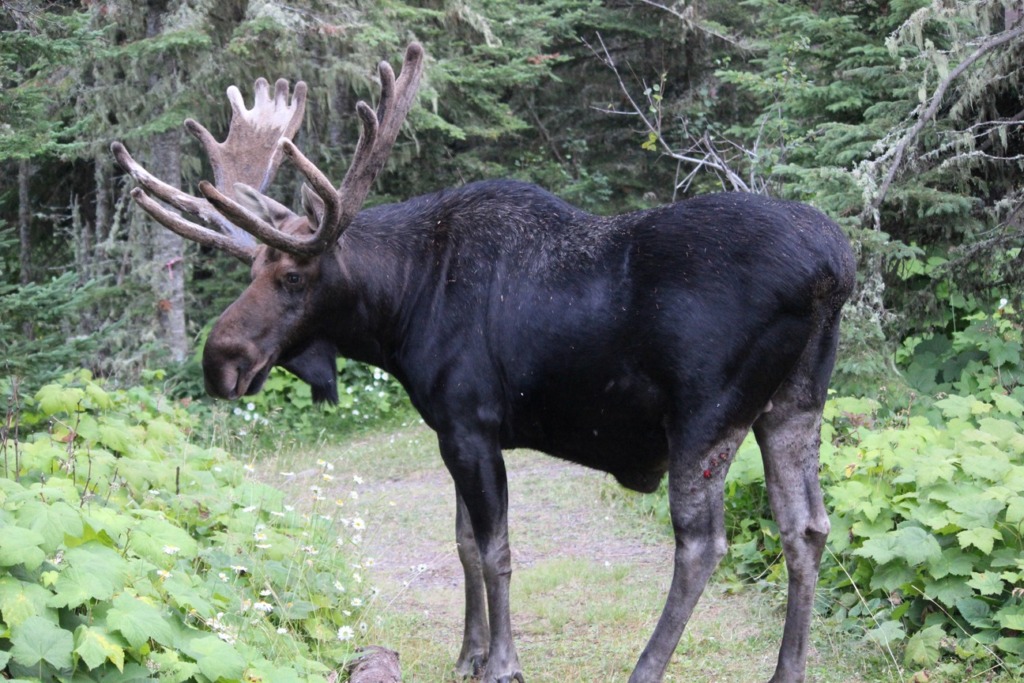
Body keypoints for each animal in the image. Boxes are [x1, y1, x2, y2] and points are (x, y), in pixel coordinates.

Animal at [114, 42, 856, 683]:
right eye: (251, 271)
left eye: (294, 276)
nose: (220, 361)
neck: (403, 305)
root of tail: (833, 268)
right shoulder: (450, 428)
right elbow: (465, 542)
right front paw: (469, 653)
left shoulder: (471, 423)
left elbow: (497, 551)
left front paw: (502, 662)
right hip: (794, 404)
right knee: (807, 528)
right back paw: (787, 670)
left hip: (706, 417)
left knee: (702, 546)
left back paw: (647, 668)